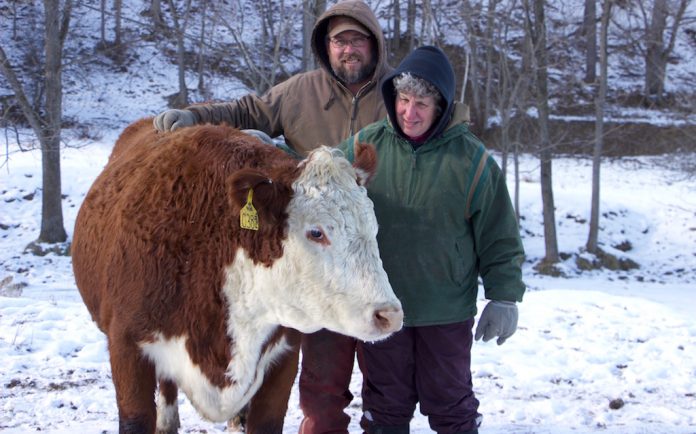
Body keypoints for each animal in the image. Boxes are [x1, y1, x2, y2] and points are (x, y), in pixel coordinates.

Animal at [70, 118, 402, 434]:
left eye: (373, 225)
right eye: (316, 232)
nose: (389, 315)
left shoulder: (284, 356)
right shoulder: (126, 345)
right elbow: (136, 420)